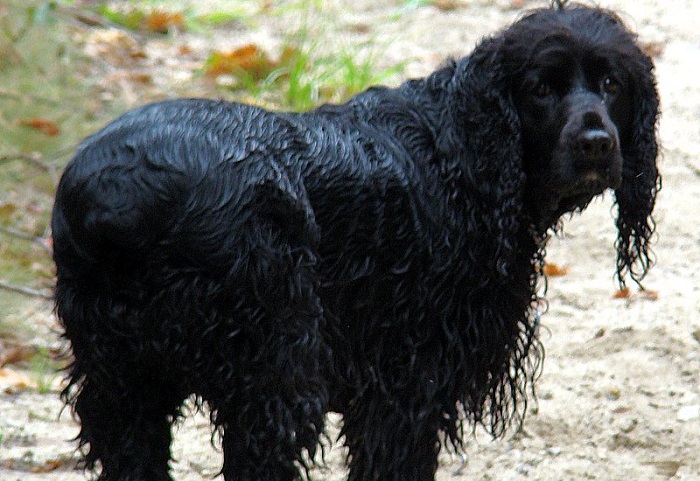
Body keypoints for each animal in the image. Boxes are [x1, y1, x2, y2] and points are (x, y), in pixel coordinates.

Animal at [52, 1, 660, 478]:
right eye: (539, 88)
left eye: (612, 84)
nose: (596, 142)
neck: (467, 156)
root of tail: (119, 190)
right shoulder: (404, 388)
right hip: (274, 375)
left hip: (123, 385)